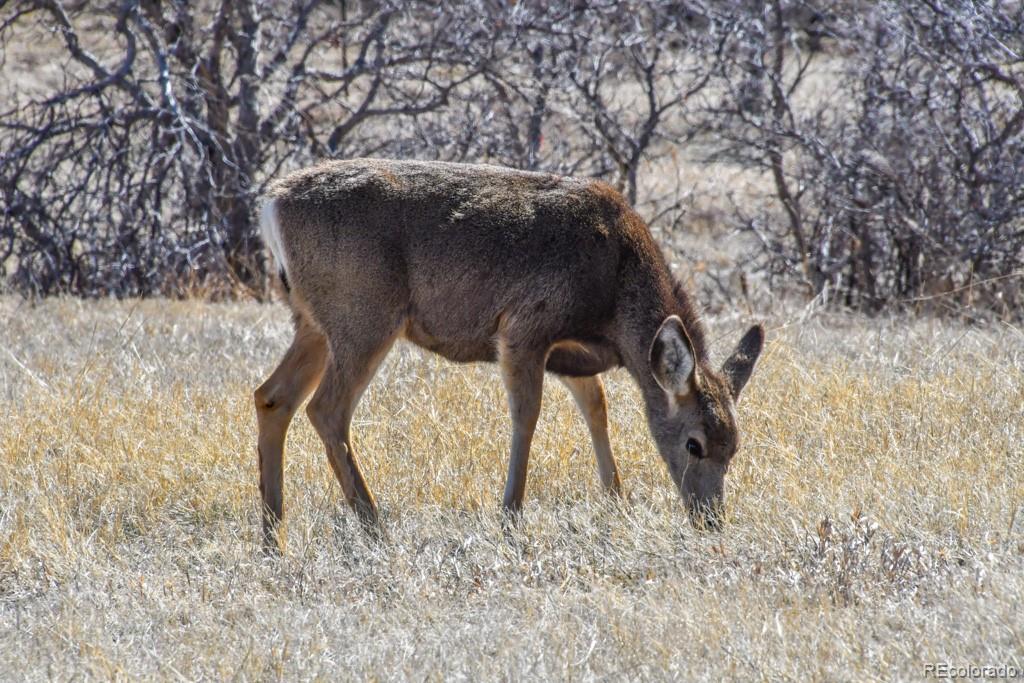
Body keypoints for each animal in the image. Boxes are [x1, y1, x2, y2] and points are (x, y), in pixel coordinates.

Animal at [256, 156, 765, 548]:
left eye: (736, 446)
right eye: (694, 444)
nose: (710, 520)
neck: (615, 290)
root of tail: (272, 204)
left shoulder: (571, 352)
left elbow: (595, 407)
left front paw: (617, 502)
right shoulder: (525, 326)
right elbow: (527, 414)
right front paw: (510, 516)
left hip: (314, 323)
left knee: (272, 397)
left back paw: (272, 535)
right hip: (363, 315)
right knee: (326, 409)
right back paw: (374, 526)